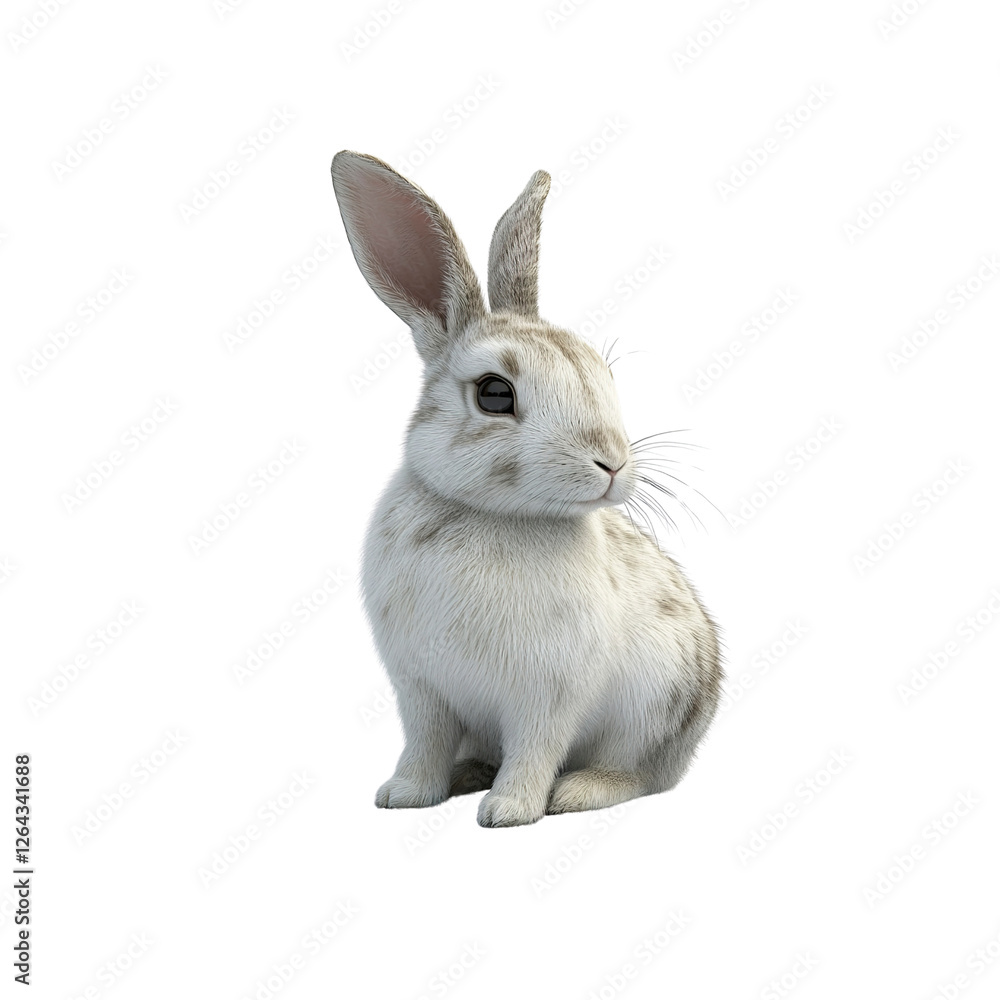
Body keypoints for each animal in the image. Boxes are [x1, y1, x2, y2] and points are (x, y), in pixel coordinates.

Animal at [331, 150, 721, 827]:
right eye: (494, 393)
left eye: (600, 371)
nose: (612, 463)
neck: (493, 514)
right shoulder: (421, 691)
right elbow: (423, 744)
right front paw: (404, 795)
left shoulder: (548, 696)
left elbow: (536, 749)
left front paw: (509, 810)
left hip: (649, 713)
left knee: (639, 776)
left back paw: (577, 792)